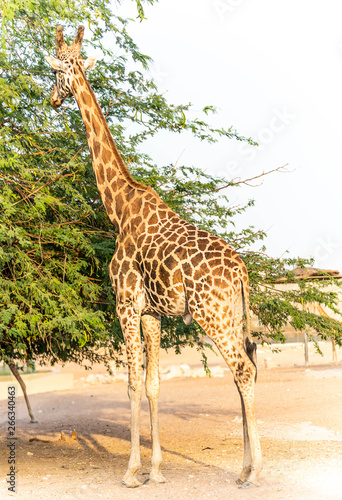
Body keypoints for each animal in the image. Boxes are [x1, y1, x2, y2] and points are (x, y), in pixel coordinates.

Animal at [44, 24, 262, 488]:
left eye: (54, 72)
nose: (52, 99)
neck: (119, 208)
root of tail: (241, 270)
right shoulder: (151, 313)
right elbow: (154, 384)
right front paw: (157, 471)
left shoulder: (125, 302)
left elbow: (129, 383)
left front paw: (131, 472)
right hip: (233, 313)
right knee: (246, 368)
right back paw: (241, 467)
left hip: (211, 314)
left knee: (243, 370)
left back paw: (255, 471)